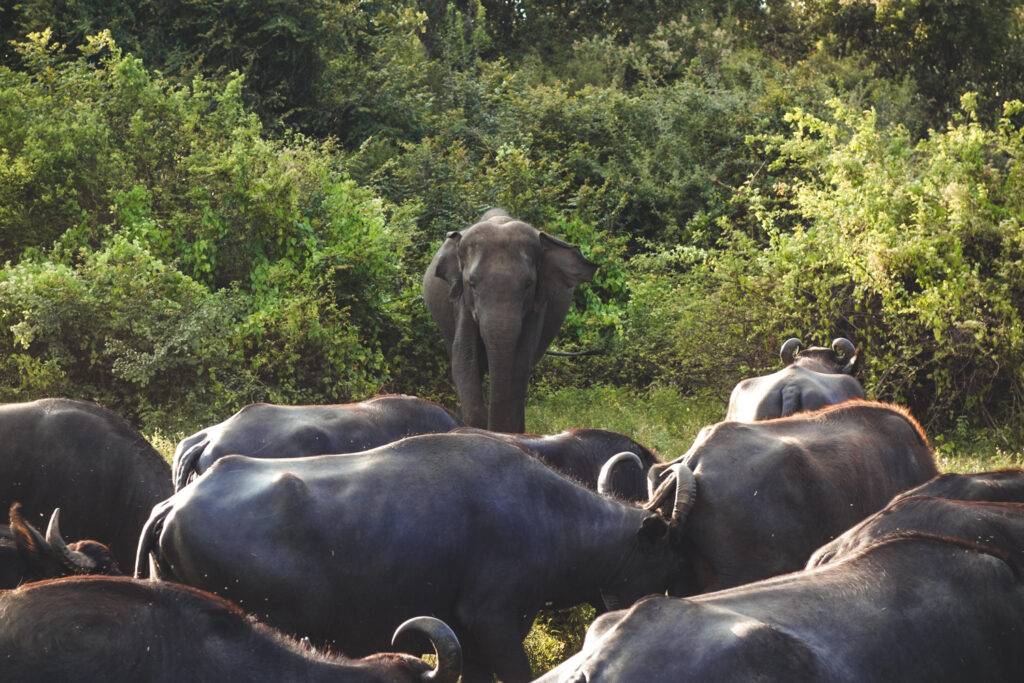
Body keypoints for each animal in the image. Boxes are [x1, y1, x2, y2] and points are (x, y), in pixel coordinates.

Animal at [423, 209, 596, 432]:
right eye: (472, 283)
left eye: (528, 284)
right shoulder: (462, 303)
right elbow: (464, 357)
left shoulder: (537, 306)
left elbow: (521, 360)